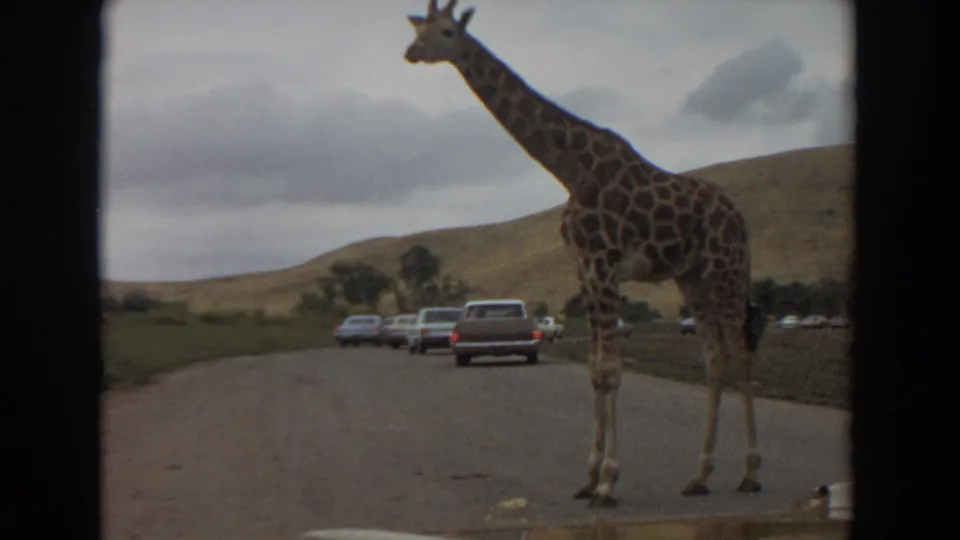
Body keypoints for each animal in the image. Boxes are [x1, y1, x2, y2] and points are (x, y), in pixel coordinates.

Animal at [403, 0, 766, 507]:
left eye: (448, 31)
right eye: (420, 26)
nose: (412, 52)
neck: (569, 169)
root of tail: (740, 218)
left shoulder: (604, 265)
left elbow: (611, 369)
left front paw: (609, 481)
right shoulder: (585, 270)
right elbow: (596, 370)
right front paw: (589, 477)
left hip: (727, 270)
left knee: (742, 352)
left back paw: (750, 473)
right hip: (692, 277)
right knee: (715, 358)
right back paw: (699, 476)